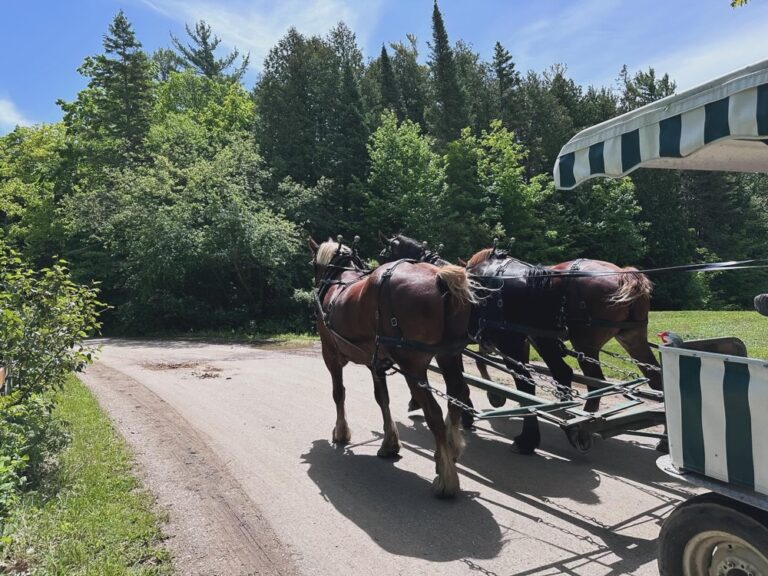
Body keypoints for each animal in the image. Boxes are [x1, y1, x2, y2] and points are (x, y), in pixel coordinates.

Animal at [308, 236, 476, 498]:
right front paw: (389, 443)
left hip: (413, 366)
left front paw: (341, 432)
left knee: (434, 413)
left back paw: (446, 478)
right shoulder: (376, 361)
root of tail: (440, 278)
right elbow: (382, 398)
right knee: (457, 394)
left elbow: (338, 394)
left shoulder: (330, 354)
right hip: (449, 356)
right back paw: (450, 450)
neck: (339, 280)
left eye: (312, 264)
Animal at [468, 248, 660, 454]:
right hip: (632, 338)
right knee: (655, 380)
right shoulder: (520, 339)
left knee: (588, 382)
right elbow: (481, 360)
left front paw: (494, 397)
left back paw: (575, 428)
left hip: (581, 343)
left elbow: (479, 361)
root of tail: (625, 275)